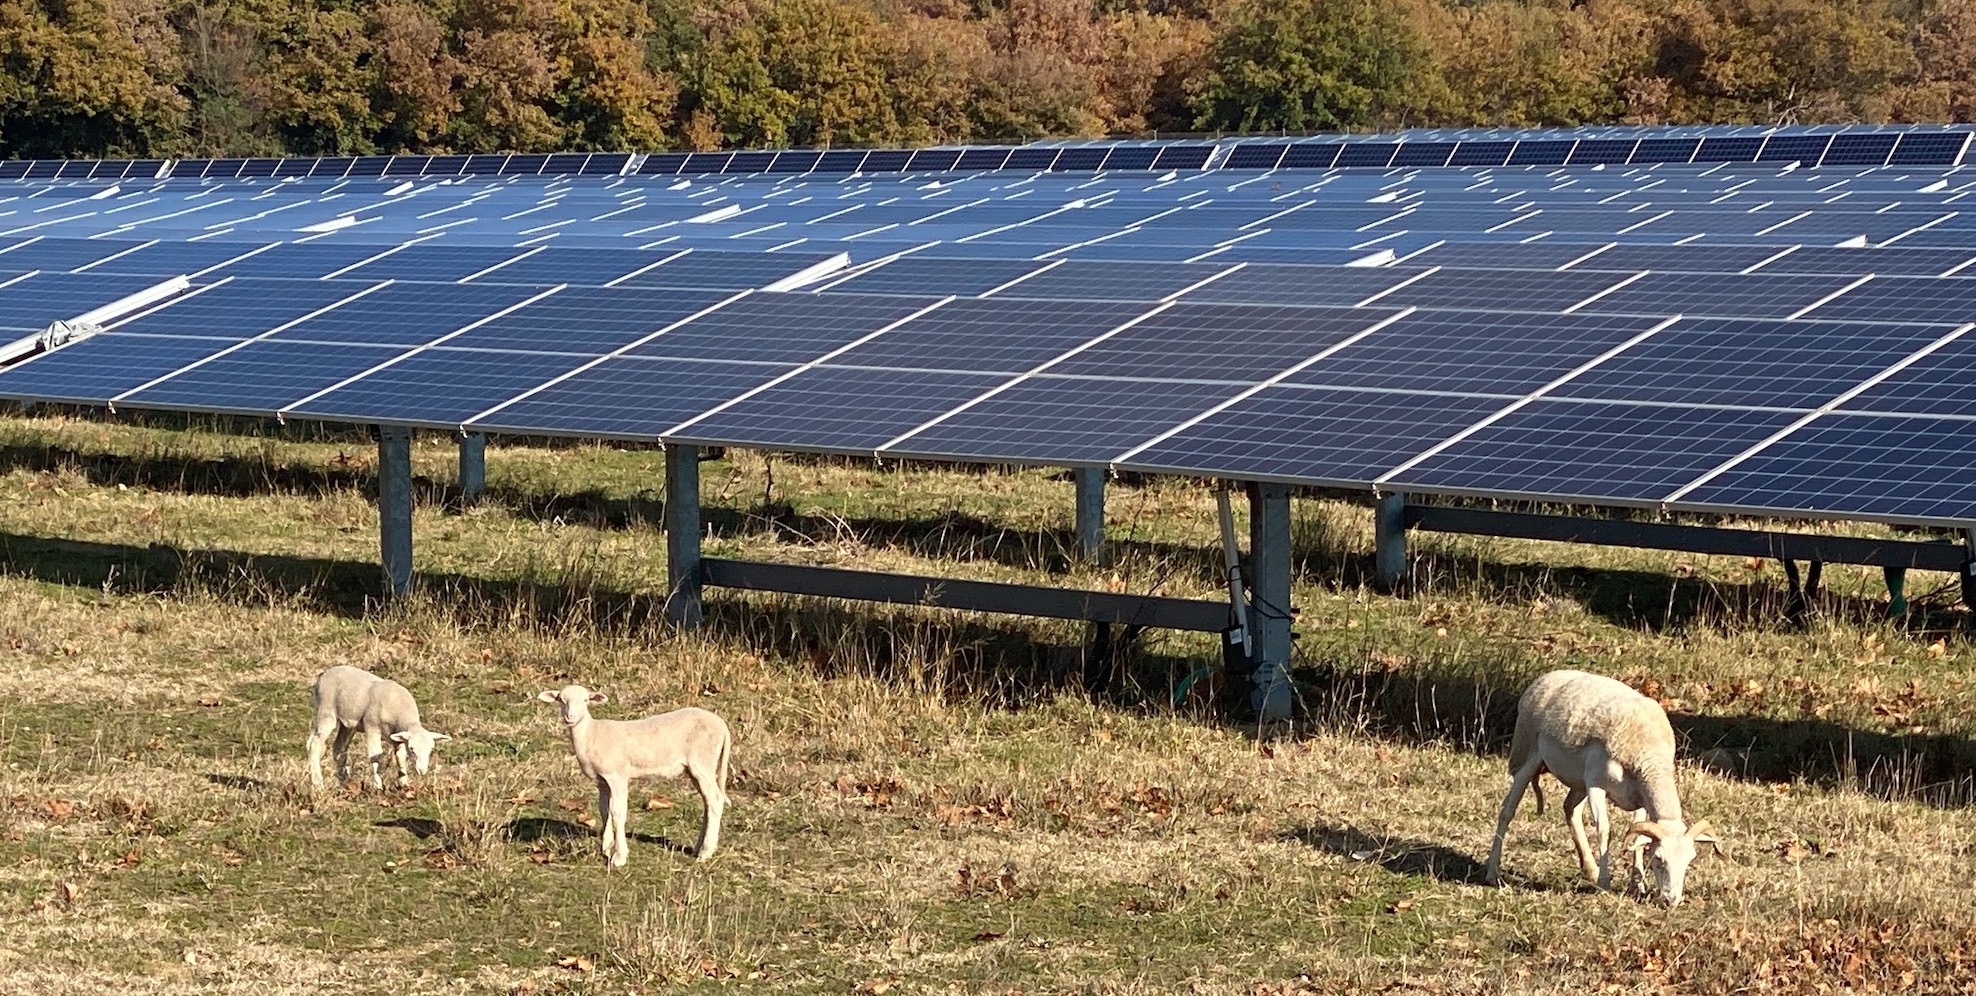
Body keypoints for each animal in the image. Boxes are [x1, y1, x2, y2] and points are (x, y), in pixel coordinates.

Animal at [306, 664, 452, 798]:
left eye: (431, 749)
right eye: (412, 748)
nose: (422, 771)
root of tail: (323, 675)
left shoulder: (397, 737)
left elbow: (400, 758)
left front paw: (404, 784)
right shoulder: (372, 727)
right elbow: (375, 755)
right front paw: (378, 786)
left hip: (347, 724)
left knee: (338, 748)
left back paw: (345, 782)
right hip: (326, 712)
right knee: (315, 745)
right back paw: (318, 784)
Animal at [537, 683, 731, 865]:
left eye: (585, 700)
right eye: (561, 700)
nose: (570, 718)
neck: (593, 734)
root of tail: (722, 725)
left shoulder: (617, 776)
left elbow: (617, 813)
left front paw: (619, 857)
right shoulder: (602, 781)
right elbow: (604, 811)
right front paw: (606, 848)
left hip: (702, 762)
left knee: (715, 800)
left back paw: (706, 852)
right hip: (695, 768)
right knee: (708, 802)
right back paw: (699, 847)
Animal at [1485, 667, 1715, 901]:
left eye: (1689, 860)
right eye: (1659, 858)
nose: (1671, 900)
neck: (1650, 755)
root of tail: (1546, 676)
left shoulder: (1639, 796)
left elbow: (1638, 838)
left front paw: (1637, 884)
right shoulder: (1596, 784)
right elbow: (1604, 831)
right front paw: (1605, 883)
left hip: (1578, 779)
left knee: (1570, 808)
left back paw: (1590, 869)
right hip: (1526, 755)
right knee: (1507, 812)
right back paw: (1493, 872)